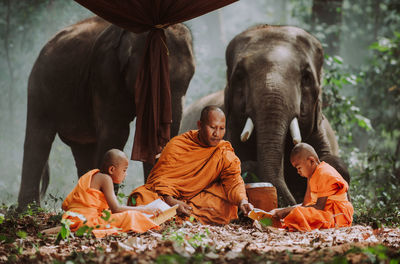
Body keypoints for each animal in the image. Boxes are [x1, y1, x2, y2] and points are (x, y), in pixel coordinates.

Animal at [18, 16, 195, 209]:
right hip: (39, 85)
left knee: (82, 149)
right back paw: (28, 210)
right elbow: (116, 131)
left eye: (191, 77)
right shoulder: (105, 71)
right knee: (39, 138)